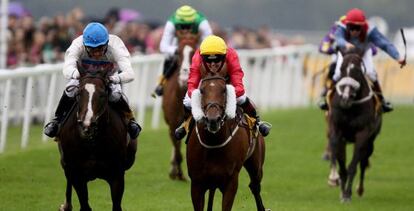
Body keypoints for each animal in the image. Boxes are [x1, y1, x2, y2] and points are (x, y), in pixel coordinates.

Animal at [56, 64, 137, 211]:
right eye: (79, 94)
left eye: (102, 95)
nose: (87, 124)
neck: (92, 143)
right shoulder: (77, 175)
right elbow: (85, 206)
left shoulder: (117, 174)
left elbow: (116, 205)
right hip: (66, 164)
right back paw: (65, 205)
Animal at [186, 65, 266, 210]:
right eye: (202, 90)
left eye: (224, 90)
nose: (213, 120)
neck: (213, 143)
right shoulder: (197, 183)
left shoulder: (231, 181)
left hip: (256, 164)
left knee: (255, 186)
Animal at [326, 49, 382, 203]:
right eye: (341, 69)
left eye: (358, 70)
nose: (345, 99)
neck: (350, 107)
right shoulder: (336, 129)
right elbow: (339, 159)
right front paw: (335, 180)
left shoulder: (362, 134)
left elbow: (353, 166)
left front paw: (347, 194)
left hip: (371, 141)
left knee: (363, 163)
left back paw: (359, 189)